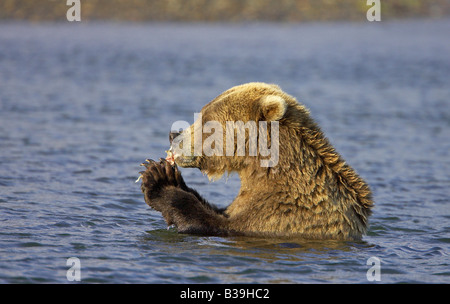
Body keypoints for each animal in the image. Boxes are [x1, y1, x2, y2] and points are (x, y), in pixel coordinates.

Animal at [140, 82, 372, 240]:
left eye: (206, 119)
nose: (173, 134)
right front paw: (168, 175)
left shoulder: (279, 214)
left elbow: (213, 224)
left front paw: (157, 179)